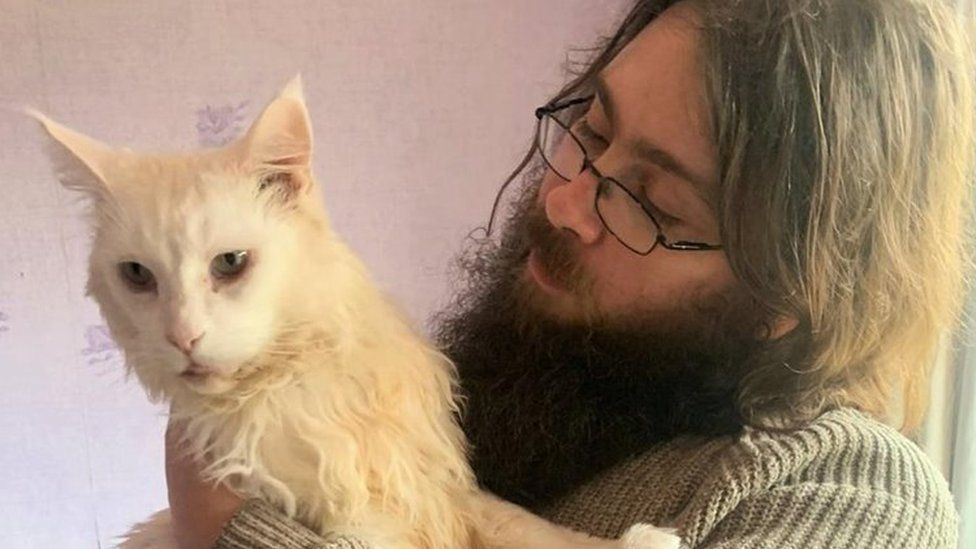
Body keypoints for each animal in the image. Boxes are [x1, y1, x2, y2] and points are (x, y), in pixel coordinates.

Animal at [31, 76, 680, 549]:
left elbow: (522, 526)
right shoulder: (331, 515)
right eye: (138, 276)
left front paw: (641, 542)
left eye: (230, 263)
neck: (293, 383)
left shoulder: (435, 486)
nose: (182, 335)